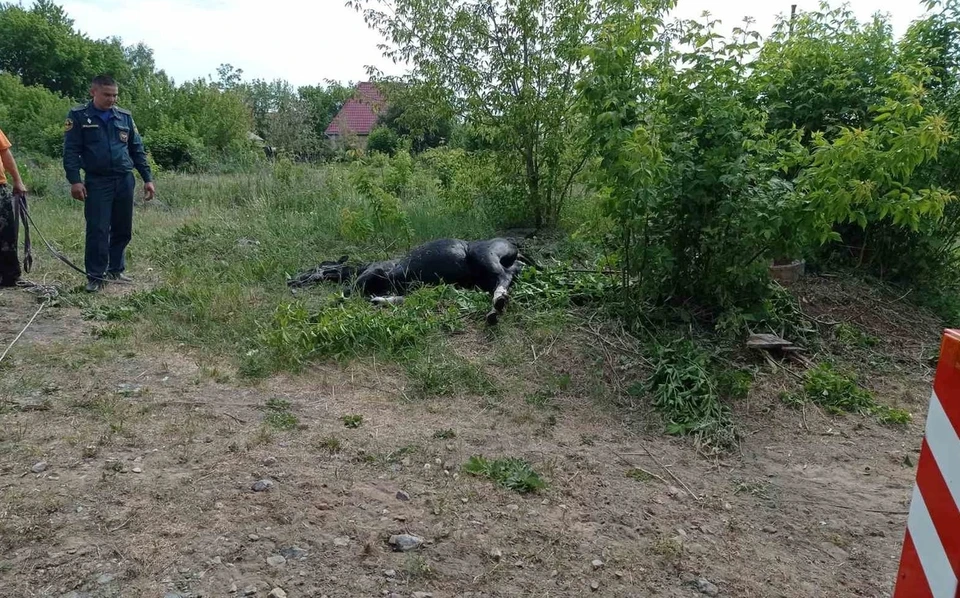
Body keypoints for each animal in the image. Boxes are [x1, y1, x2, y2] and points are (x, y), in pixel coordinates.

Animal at [284, 238, 540, 326]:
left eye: (314, 267)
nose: (291, 281)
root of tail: (514, 247)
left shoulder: (373, 273)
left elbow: (346, 294)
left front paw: (315, 315)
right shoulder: (411, 287)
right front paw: (379, 300)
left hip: (484, 256)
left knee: (503, 279)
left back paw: (497, 305)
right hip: (489, 273)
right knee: (510, 276)